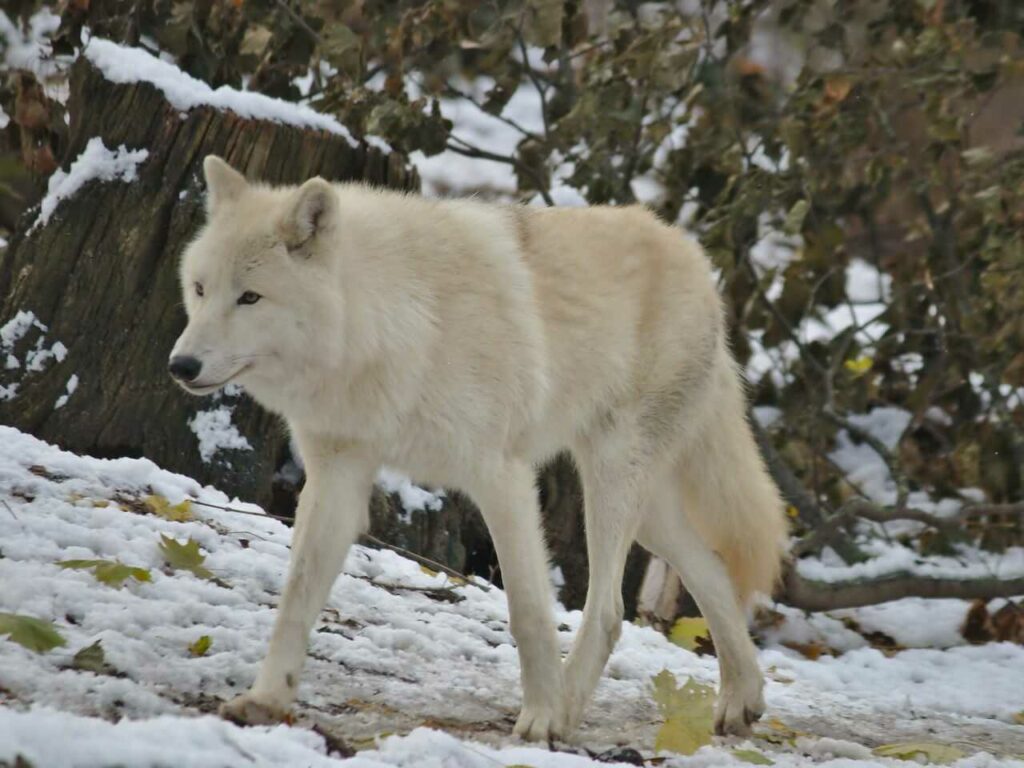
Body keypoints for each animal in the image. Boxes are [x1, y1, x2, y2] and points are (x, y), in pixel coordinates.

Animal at [172, 154, 786, 741]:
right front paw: (265, 699)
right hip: (643, 507)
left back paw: (566, 710)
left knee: (610, 609)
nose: (181, 365)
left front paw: (540, 716)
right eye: (200, 289)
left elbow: (529, 611)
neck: (393, 322)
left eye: (250, 297)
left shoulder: (502, 476)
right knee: (711, 572)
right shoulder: (337, 475)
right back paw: (742, 699)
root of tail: (693, 256)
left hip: (610, 482)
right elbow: (296, 598)